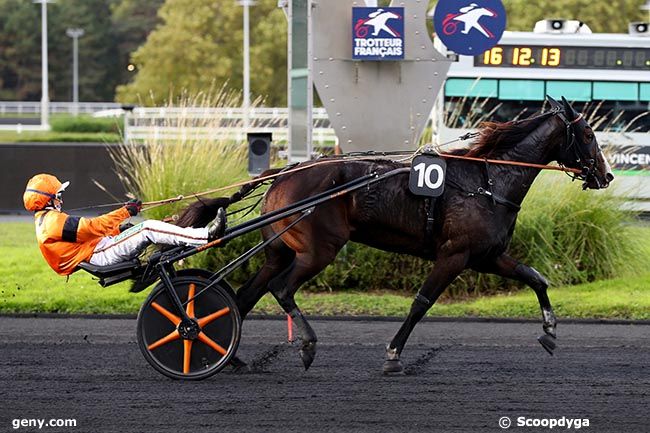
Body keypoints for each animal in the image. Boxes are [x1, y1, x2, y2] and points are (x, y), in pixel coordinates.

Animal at [177, 96, 612, 372]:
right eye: (588, 135)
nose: (605, 175)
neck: (487, 182)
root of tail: (285, 171)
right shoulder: (454, 255)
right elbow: (421, 303)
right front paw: (393, 355)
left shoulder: (487, 255)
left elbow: (536, 278)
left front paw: (550, 332)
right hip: (320, 250)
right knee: (281, 289)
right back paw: (306, 346)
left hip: (280, 249)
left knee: (243, 297)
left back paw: (231, 357)